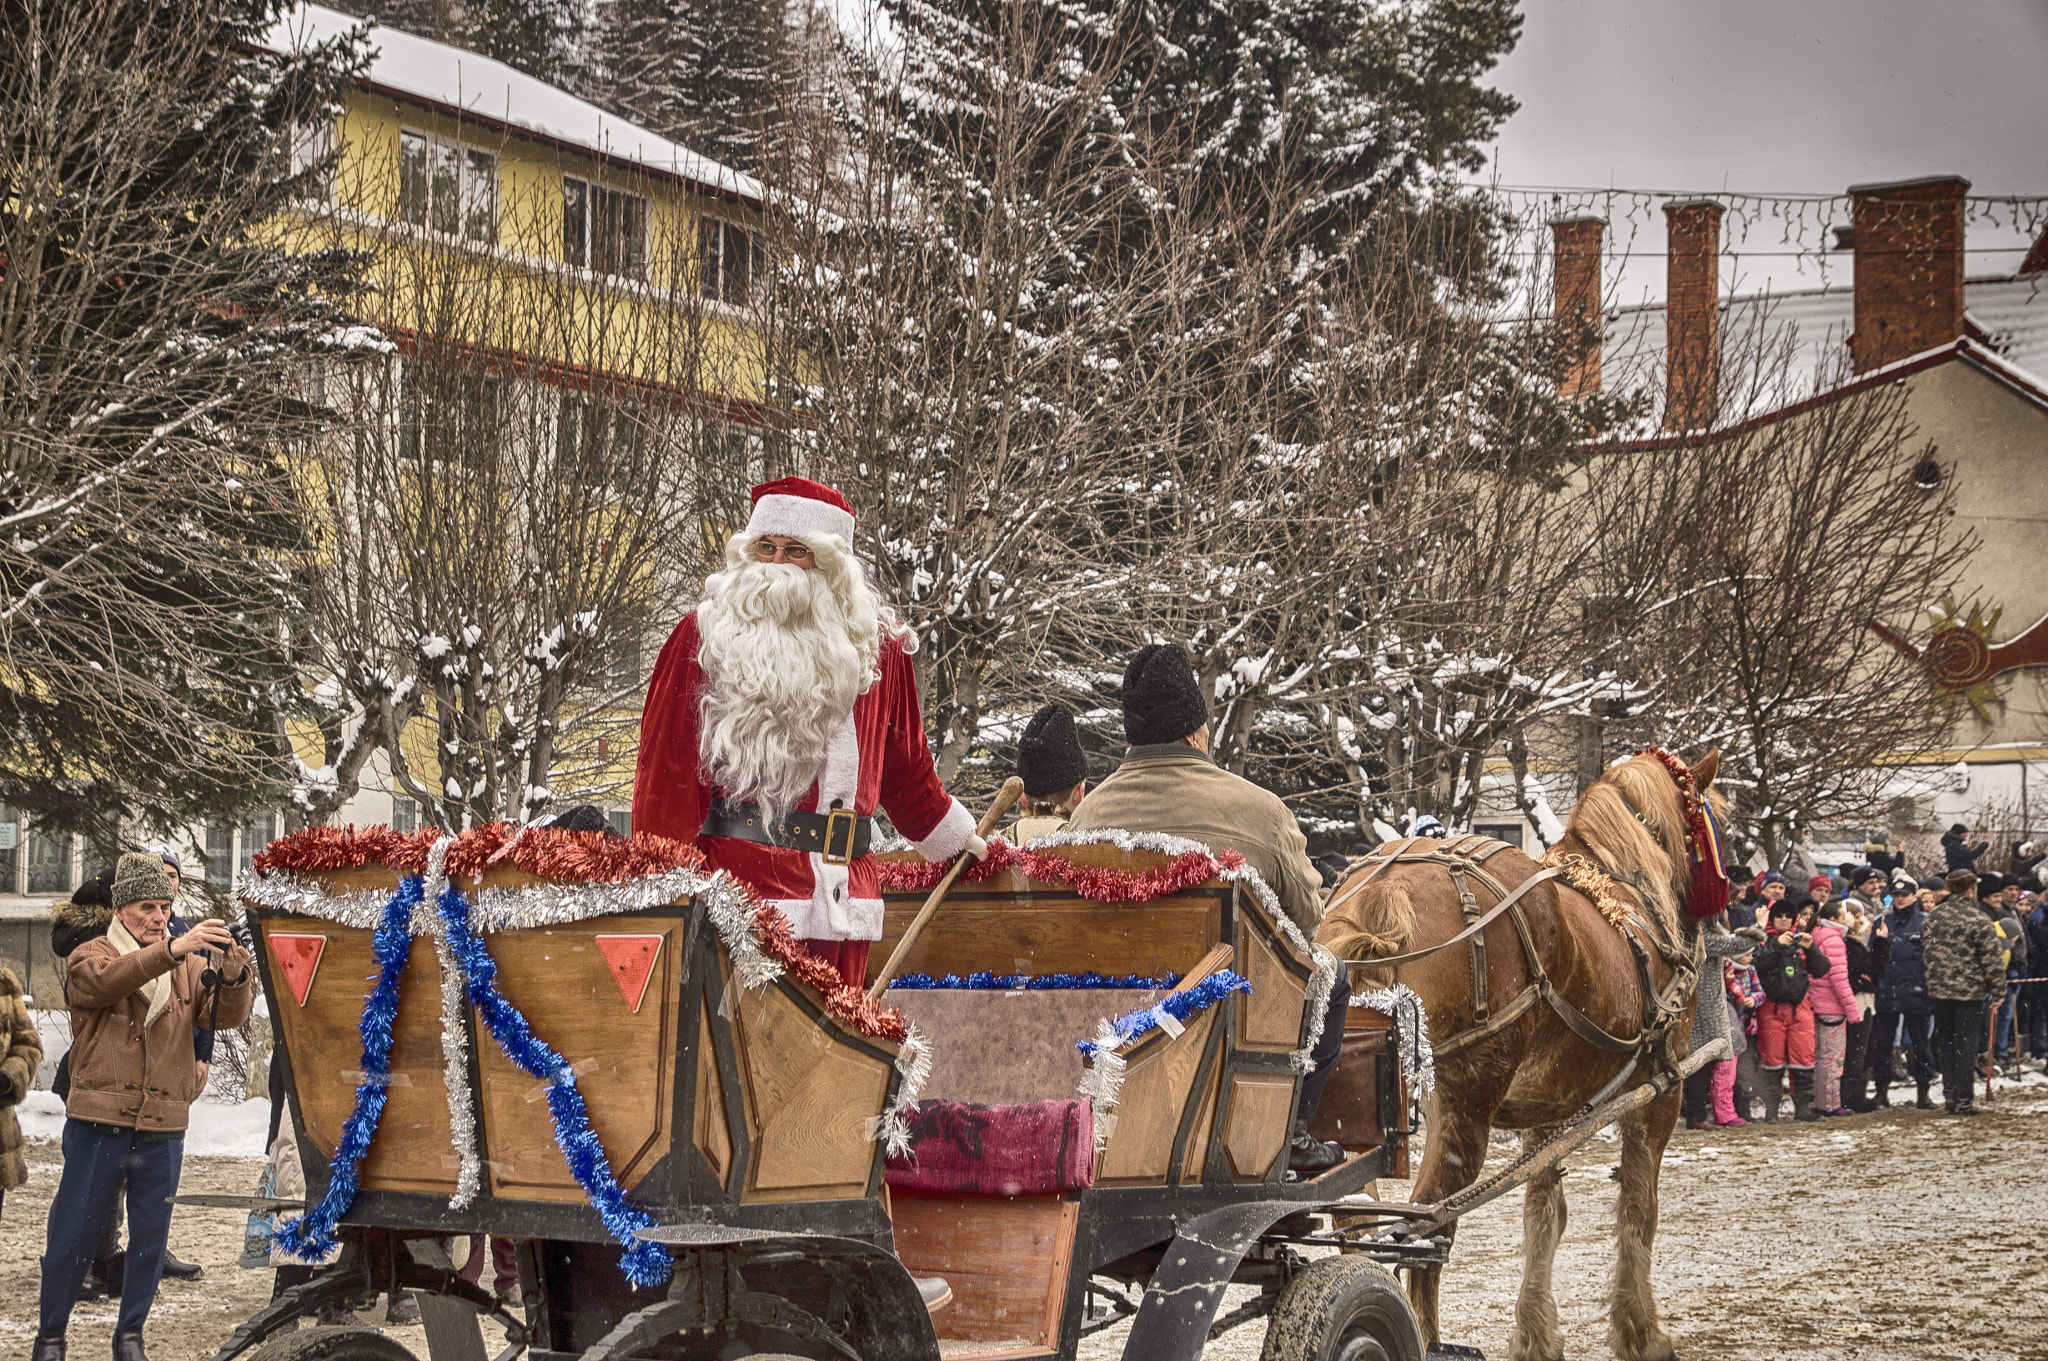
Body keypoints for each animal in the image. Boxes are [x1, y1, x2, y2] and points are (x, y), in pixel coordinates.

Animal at [1318, 749, 1720, 1358]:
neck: (1623, 891)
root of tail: (1383, 896)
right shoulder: (1659, 1094)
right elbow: (1638, 1208)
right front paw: (1641, 1332)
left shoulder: (1550, 1111)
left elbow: (1543, 1216)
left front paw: (1535, 1334)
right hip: (1463, 1110)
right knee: (1423, 1230)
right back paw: (1425, 1338)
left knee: (1358, 1220)